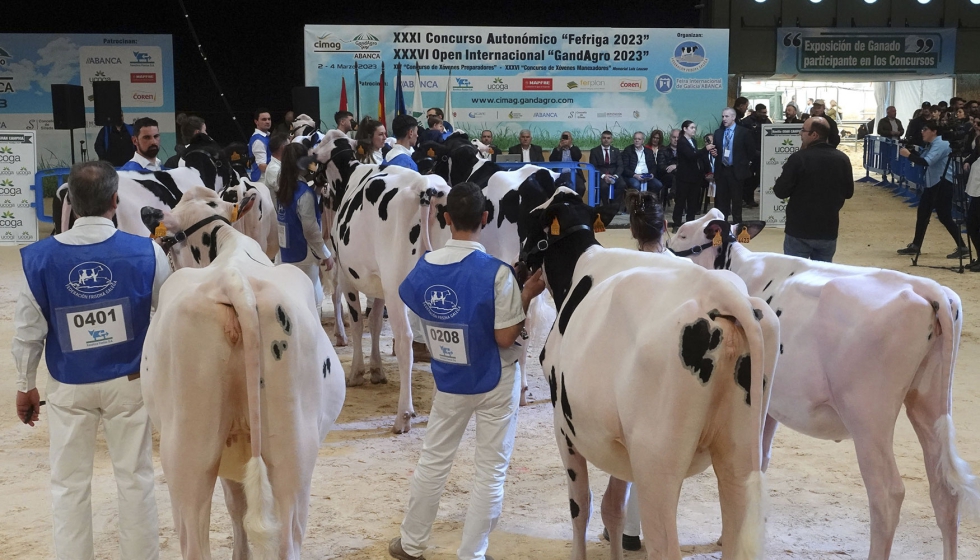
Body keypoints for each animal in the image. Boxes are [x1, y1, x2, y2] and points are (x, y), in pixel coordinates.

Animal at [140, 188, 346, 560]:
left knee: (197, 542)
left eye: (167, 242)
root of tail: (233, 282)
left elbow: (235, 505)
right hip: (292, 450)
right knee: (287, 537)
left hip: (186, 454)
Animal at [668, 210, 980, 560]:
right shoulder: (770, 404)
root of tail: (927, 288)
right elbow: (758, 462)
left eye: (683, 232)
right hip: (930, 400)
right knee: (944, 490)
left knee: (887, 493)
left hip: (868, 415)